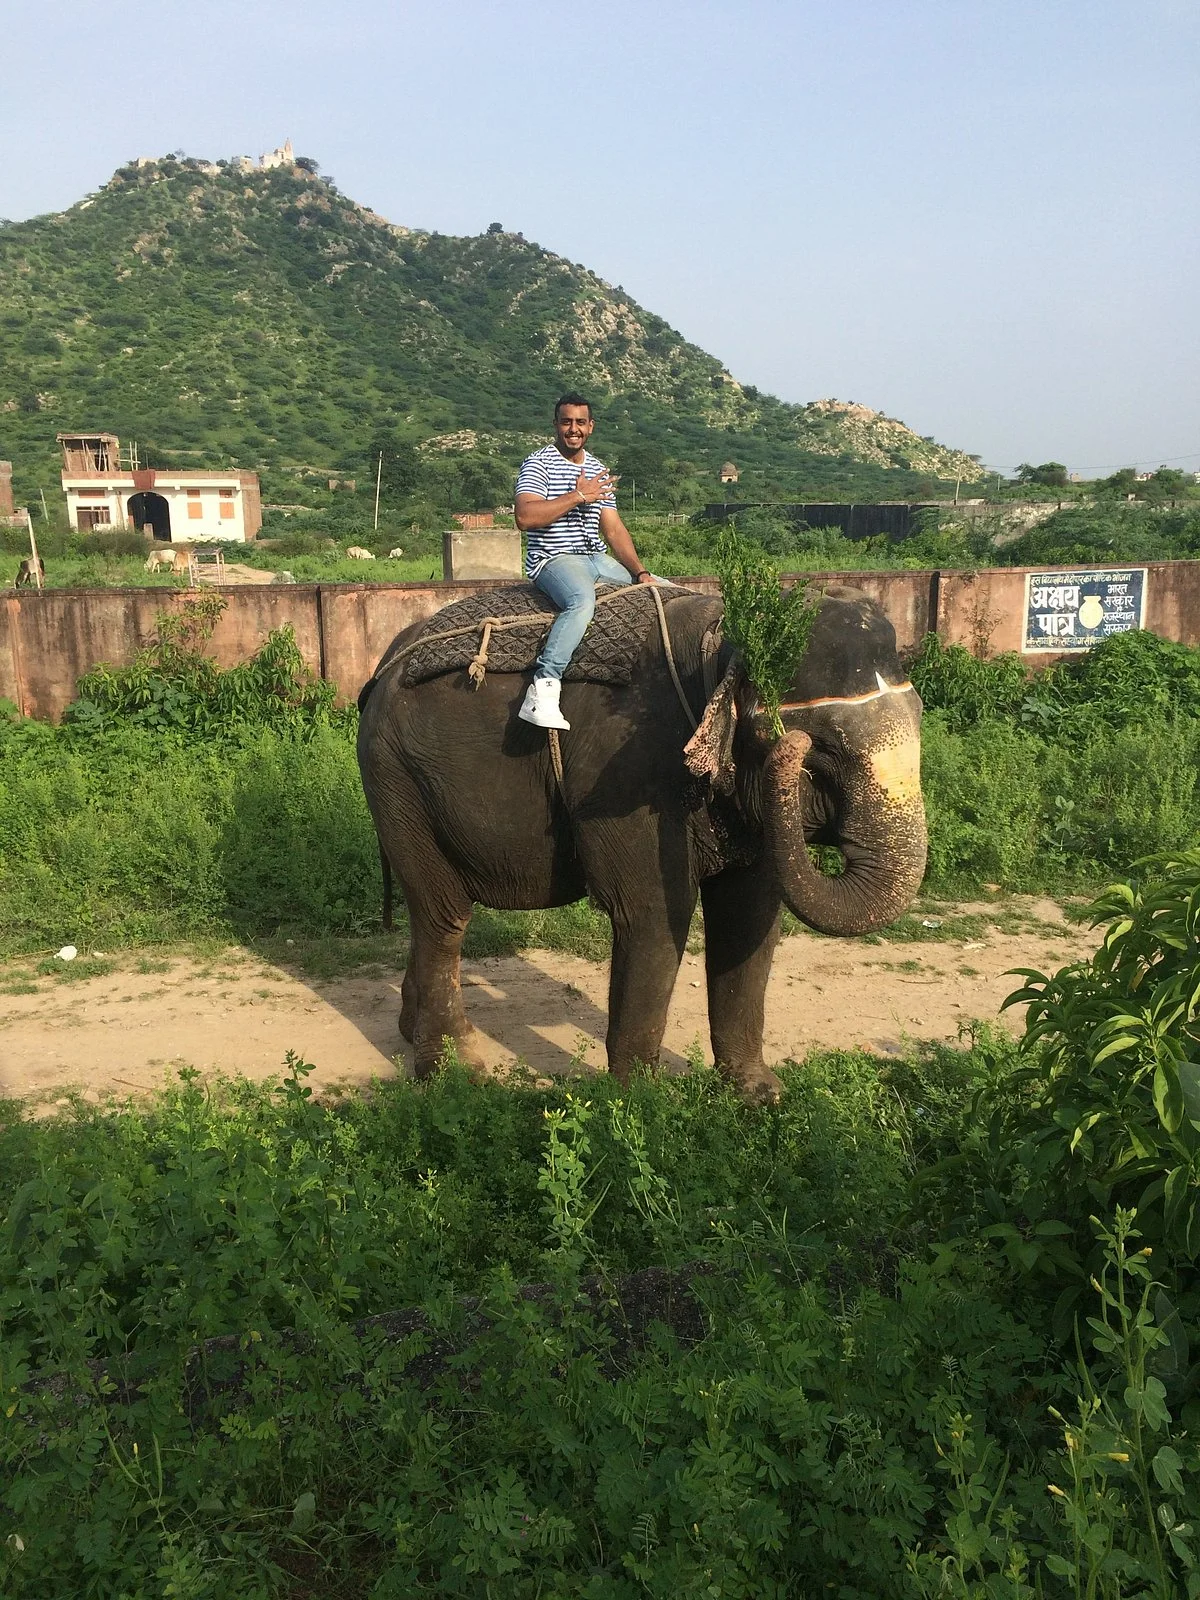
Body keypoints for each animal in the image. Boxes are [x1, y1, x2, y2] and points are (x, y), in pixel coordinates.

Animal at [356, 582, 926, 1102]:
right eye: (823, 749)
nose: (795, 745)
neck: (719, 641)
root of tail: (381, 669)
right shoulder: (630, 772)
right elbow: (654, 912)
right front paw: (644, 1106)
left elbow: (749, 912)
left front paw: (759, 1094)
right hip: (399, 779)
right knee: (443, 916)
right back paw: (454, 1075)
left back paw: (412, 1035)